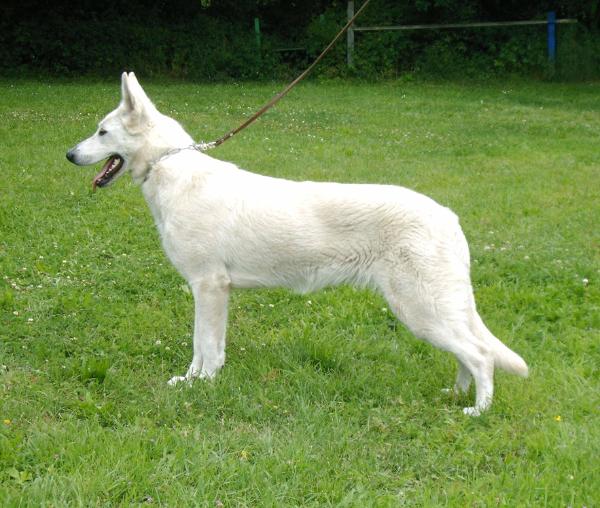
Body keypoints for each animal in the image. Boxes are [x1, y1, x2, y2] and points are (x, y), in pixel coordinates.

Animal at [65, 71, 528, 414]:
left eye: (102, 132)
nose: (69, 155)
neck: (170, 168)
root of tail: (449, 217)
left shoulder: (209, 287)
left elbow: (208, 347)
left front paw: (203, 386)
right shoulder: (206, 289)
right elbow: (200, 345)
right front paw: (191, 381)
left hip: (419, 309)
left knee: (480, 356)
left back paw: (476, 411)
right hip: (430, 312)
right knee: (467, 354)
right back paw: (456, 395)